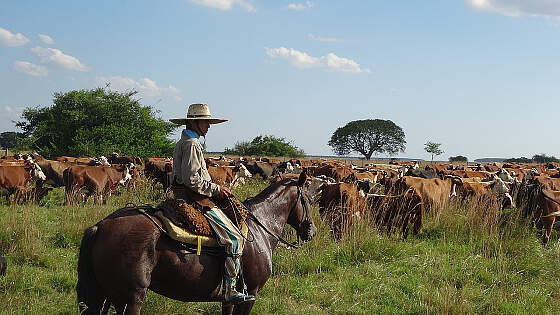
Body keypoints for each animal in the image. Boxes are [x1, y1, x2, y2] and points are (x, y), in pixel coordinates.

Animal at [76, 173, 318, 315]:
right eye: (308, 198)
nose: (312, 231)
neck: (260, 228)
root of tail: (101, 226)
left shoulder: (228, 300)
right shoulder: (250, 295)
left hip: (104, 296)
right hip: (130, 299)